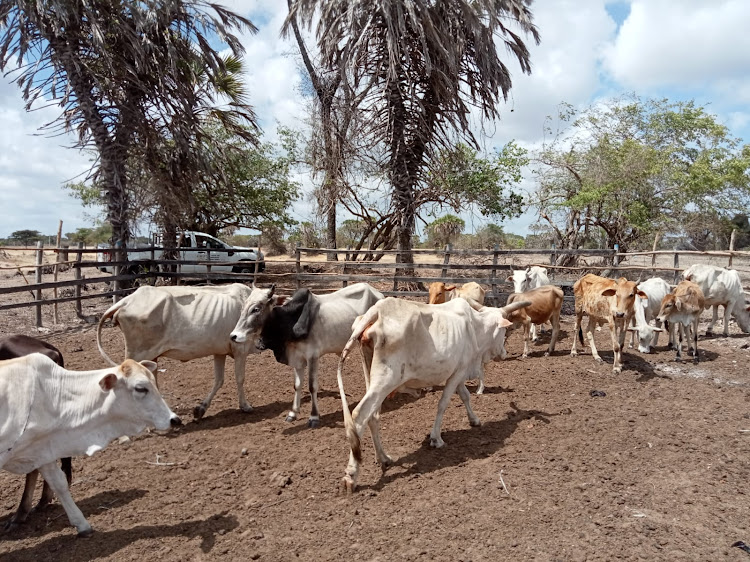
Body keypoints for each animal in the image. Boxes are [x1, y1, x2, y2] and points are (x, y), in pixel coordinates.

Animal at [97, 282, 258, 418]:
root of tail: (126, 300)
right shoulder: (240, 349)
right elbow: (240, 378)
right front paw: (245, 406)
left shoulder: (219, 352)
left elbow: (219, 380)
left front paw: (201, 409)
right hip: (137, 355)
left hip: (151, 357)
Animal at [229, 282, 384, 426]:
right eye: (243, 307)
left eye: (256, 309)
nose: (234, 336)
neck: (291, 321)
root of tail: (379, 294)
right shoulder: (297, 359)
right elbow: (297, 385)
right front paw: (292, 413)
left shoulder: (313, 357)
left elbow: (312, 386)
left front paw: (314, 417)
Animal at [338, 298, 532, 490]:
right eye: (504, 330)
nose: (504, 353)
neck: (475, 327)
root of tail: (377, 310)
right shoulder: (458, 372)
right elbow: (443, 403)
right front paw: (436, 439)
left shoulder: (458, 371)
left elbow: (465, 396)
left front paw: (474, 420)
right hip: (386, 379)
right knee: (360, 414)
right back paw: (351, 475)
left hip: (371, 375)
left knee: (372, 416)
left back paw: (383, 458)